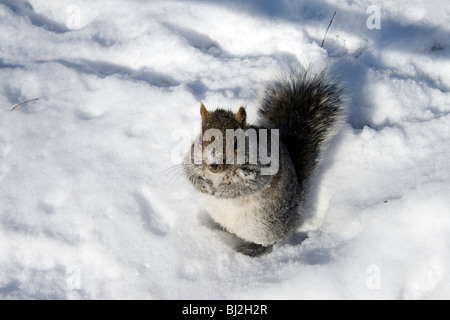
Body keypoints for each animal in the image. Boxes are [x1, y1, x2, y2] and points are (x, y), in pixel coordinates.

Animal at [183, 70, 348, 258]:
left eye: (236, 144)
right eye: (202, 142)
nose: (213, 166)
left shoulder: (260, 169)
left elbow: (246, 186)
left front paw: (223, 192)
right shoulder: (192, 159)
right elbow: (189, 173)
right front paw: (203, 186)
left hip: (265, 226)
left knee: (268, 241)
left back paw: (251, 249)